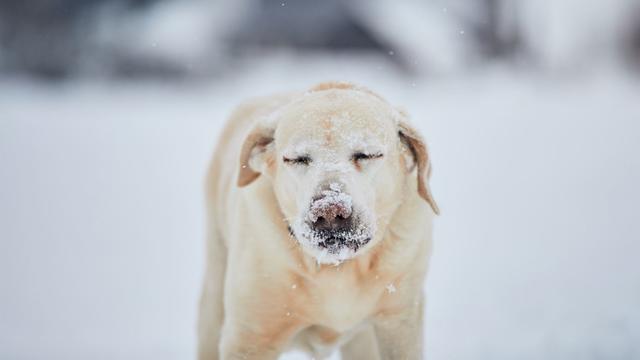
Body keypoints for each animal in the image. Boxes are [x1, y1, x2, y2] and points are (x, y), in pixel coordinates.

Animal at [200, 82, 440, 360]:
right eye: (296, 159)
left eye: (366, 155)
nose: (329, 211)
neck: (336, 270)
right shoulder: (249, 337)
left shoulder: (400, 322)